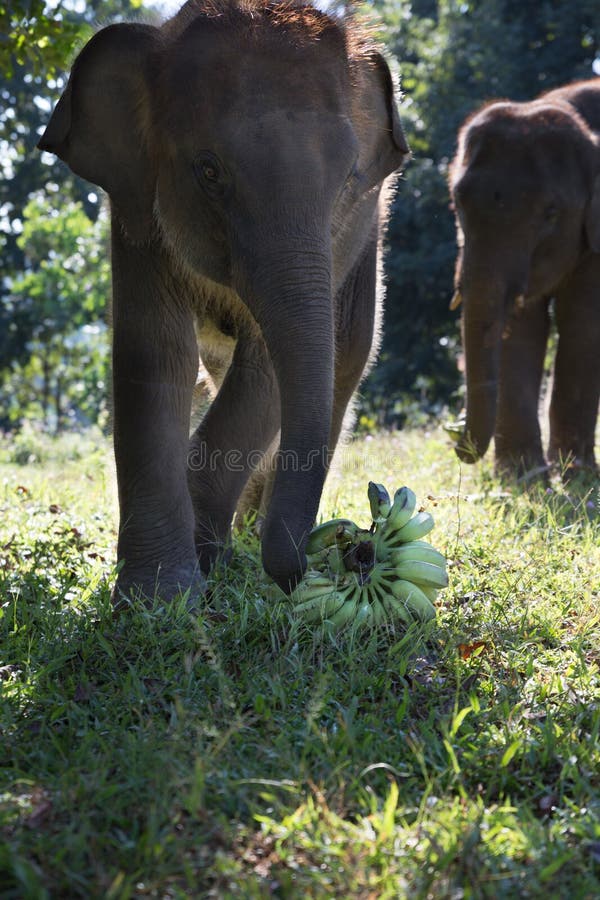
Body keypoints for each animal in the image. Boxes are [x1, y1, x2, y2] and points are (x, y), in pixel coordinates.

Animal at [38, 0, 409, 600]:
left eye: (349, 180)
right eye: (209, 171)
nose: (354, 548)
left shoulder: (345, 233)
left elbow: (265, 371)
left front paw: (204, 559)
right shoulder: (136, 206)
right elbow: (156, 351)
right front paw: (160, 596)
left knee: (347, 356)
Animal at [448, 78, 600, 480]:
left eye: (551, 213)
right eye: (457, 204)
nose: (455, 432)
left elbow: (582, 323)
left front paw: (575, 474)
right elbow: (521, 327)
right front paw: (524, 478)